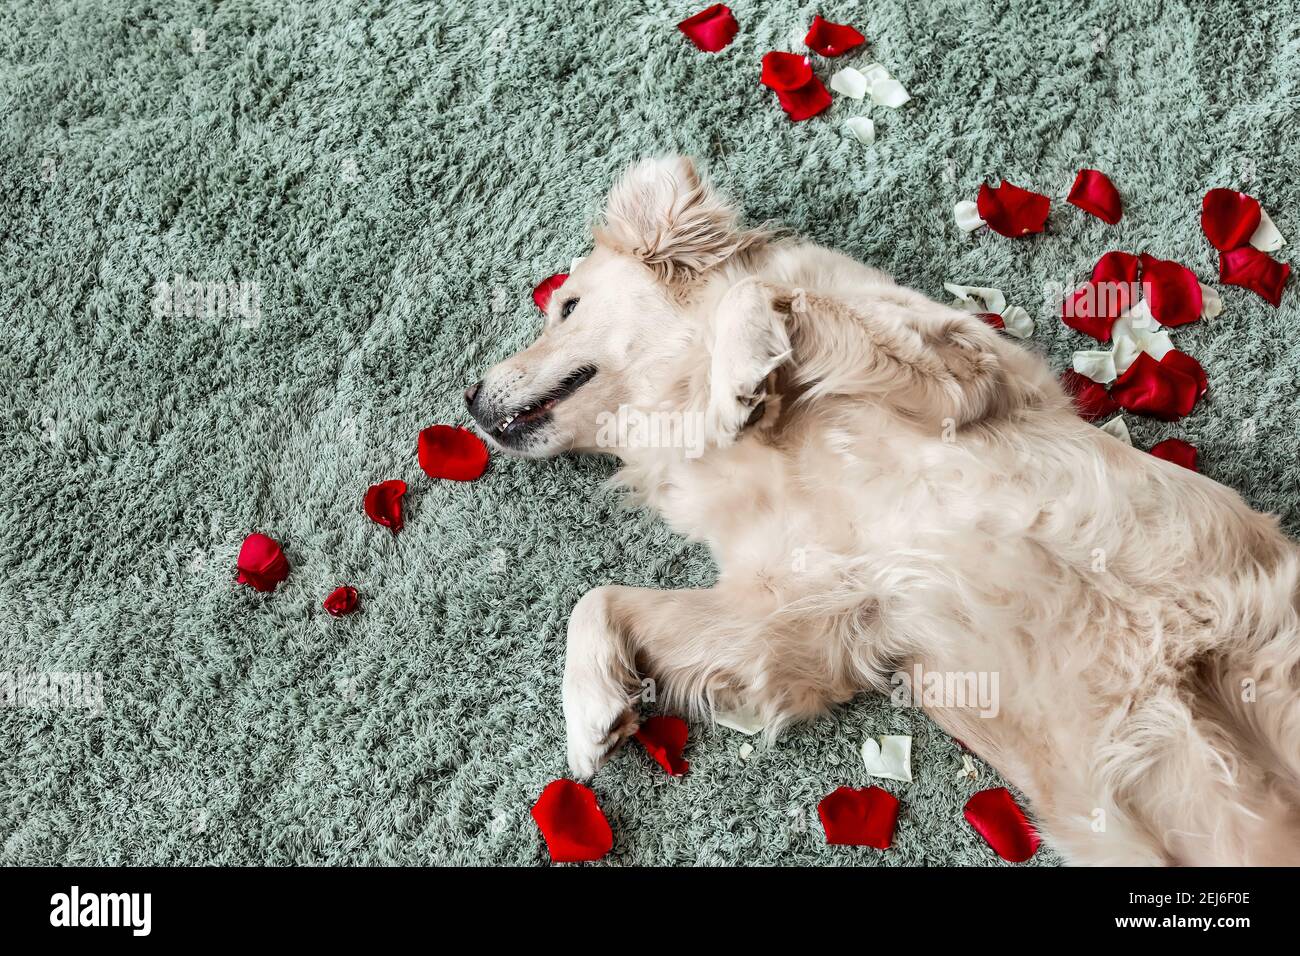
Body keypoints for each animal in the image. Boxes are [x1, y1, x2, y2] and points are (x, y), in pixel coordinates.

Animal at [467, 158, 1300, 868]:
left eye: (567, 306)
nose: (470, 399)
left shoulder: (962, 369)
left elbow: (758, 298)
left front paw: (738, 377)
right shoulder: (804, 614)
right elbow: (598, 598)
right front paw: (593, 709)